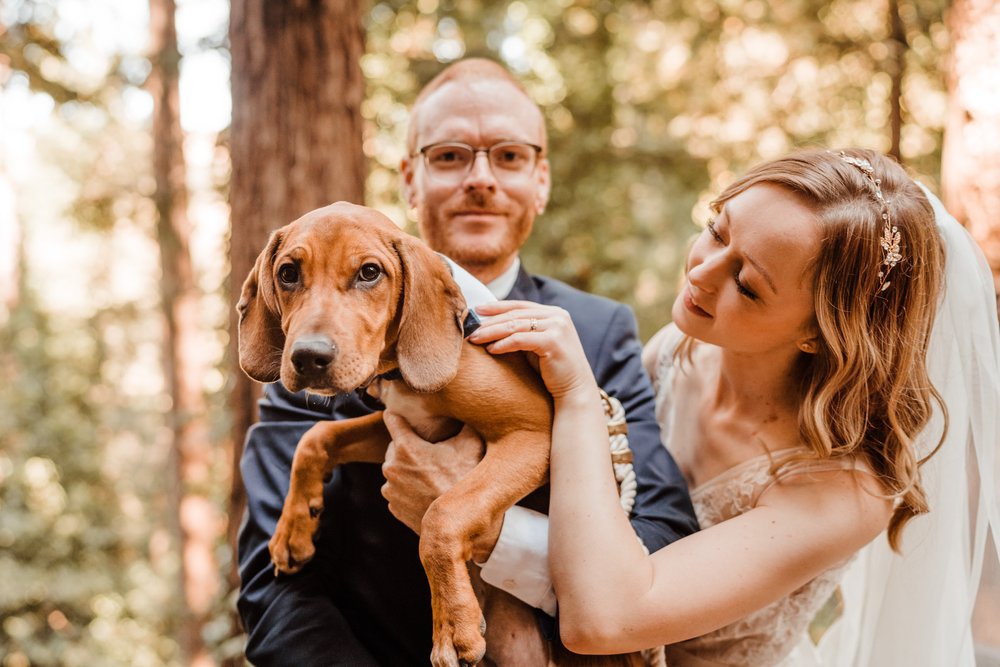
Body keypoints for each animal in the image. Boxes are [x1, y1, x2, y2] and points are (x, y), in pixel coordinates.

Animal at [238, 204, 636, 667]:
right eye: (288, 273)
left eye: (369, 272)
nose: (308, 358)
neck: (396, 369)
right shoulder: (400, 427)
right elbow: (316, 437)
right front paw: (292, 528)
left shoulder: (531, 432)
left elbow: (442, 514)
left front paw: (451, 626)